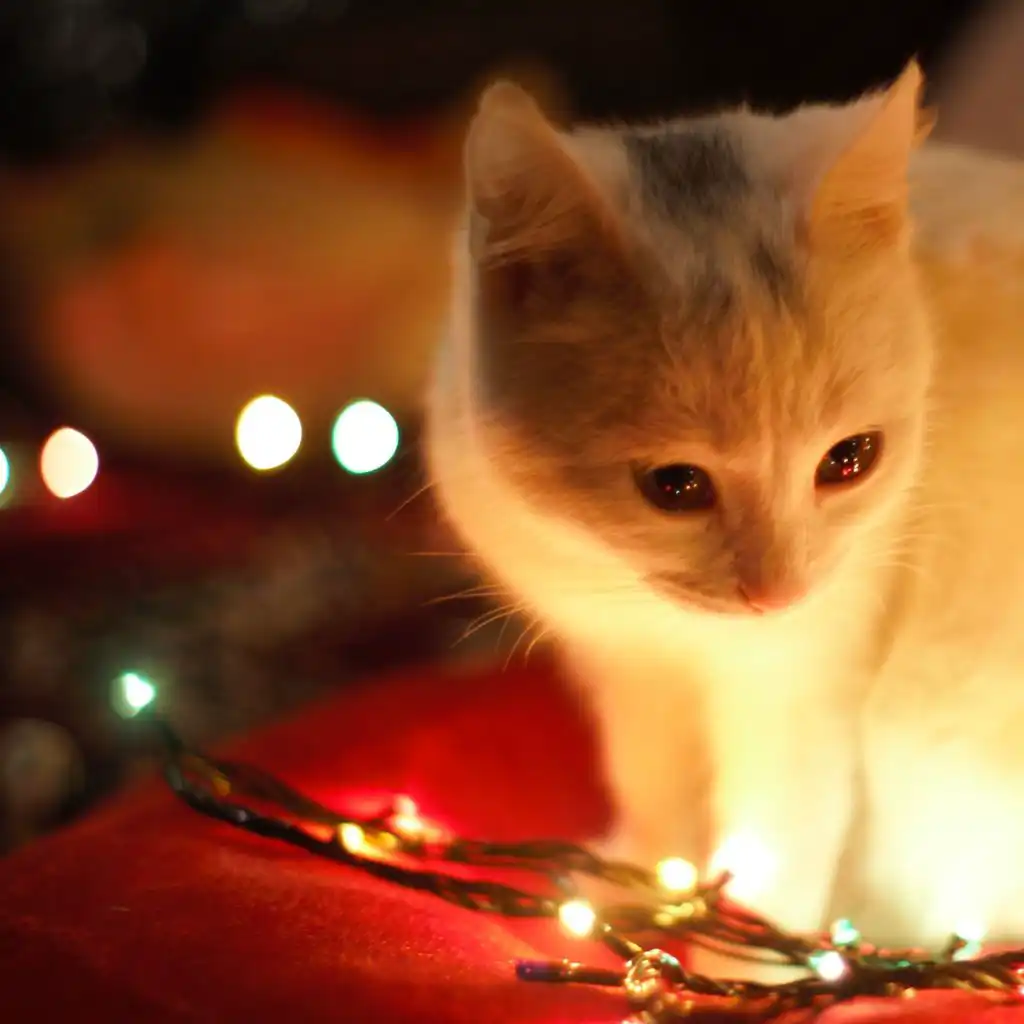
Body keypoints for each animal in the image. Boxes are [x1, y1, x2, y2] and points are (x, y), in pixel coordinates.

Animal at [421, 61, 1024, 958]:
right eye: (675, 486)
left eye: (850, 460)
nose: (775, 593)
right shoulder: (628, 667)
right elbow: (652, 781)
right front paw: (641, 879)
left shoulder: (804, 677)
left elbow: (783, 829)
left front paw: (752, 950)